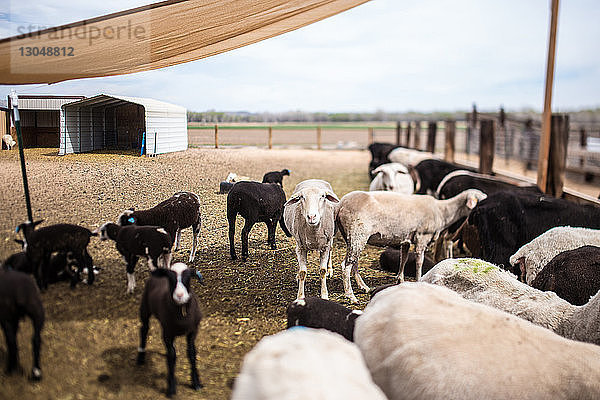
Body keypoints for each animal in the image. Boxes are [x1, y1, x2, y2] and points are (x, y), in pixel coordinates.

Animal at [137, 262, 204, 396]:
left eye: (188, 277)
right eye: (170, 278)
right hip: (145, 307)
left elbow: (192, 353)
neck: (182, 312)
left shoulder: (192, 331)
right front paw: (171, 388)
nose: (179, 295)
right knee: (144, 329)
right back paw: (141, 357)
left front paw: (196, 383)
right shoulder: (168, 333)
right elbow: (172, 357)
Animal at [336, 189, 486, 302]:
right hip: (357, 232)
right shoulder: (422, 237)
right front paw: (419, 279)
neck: (442, 212)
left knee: (354, 262)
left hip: (352, 236)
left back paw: (364, 287)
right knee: (346, 265)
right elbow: (419, 261)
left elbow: (404, 258)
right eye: (480, 199)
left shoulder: (406, 239)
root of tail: (341, 204)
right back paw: (351, 296)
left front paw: (400, 279)